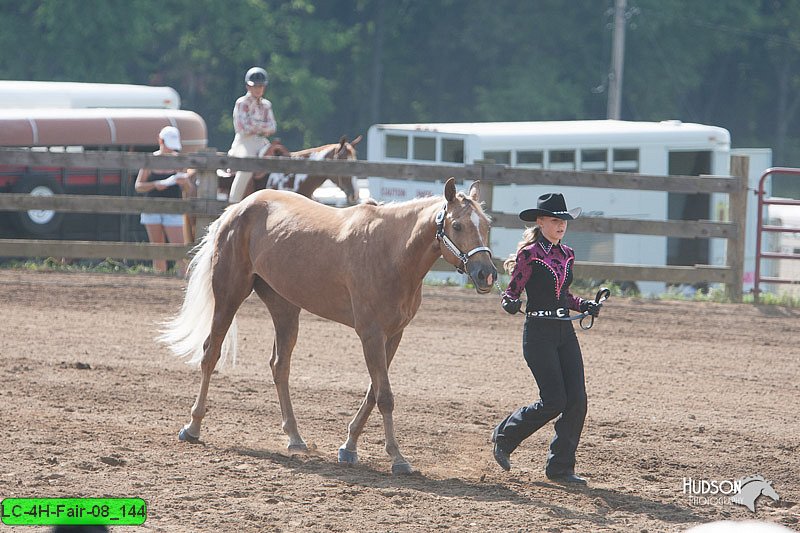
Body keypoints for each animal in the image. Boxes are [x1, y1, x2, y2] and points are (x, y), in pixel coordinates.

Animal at [159, 177, 496, 472]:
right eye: (457, 225)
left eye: (487, 225)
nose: (486, 274)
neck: (391, 251)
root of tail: (238, 209)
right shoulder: (370, 334)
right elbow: (385, 396)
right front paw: (397, 458)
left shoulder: (393, 335)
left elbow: (373, 391)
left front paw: (349, 448)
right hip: (229, 296)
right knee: (210, 354)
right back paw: (192, 427)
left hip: (285, 308)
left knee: (279, 366)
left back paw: (295, 438)